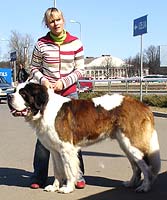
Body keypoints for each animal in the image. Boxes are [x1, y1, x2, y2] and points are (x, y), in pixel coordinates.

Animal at [7, 81, 160, 194]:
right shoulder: (55, 151)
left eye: (23, 94)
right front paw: (55, 187)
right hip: (125, 144)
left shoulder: (66, 149)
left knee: (146, 167)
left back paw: (144, 187)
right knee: (136, 166)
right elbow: (57, 170)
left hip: (132, 144)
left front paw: (67, 188)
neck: (44, 109)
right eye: (15, 90)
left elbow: (68, 169)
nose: (9, 96)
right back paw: (131, 183)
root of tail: (143, 105)